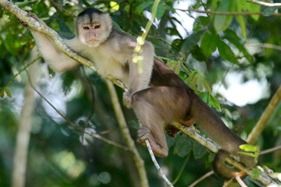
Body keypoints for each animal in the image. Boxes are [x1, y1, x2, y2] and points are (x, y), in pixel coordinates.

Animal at [31, 8, 256, 179]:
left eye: (97, 27)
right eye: (86, 28)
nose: (92, 35)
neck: (101, 44)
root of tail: (191, 93)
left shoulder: (115, 41)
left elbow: (144, 49)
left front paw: (131, 93)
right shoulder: (80, 44)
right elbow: (60, 62)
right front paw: (32, 22)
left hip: (178, 99)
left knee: (144, 98)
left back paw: (160, 148)